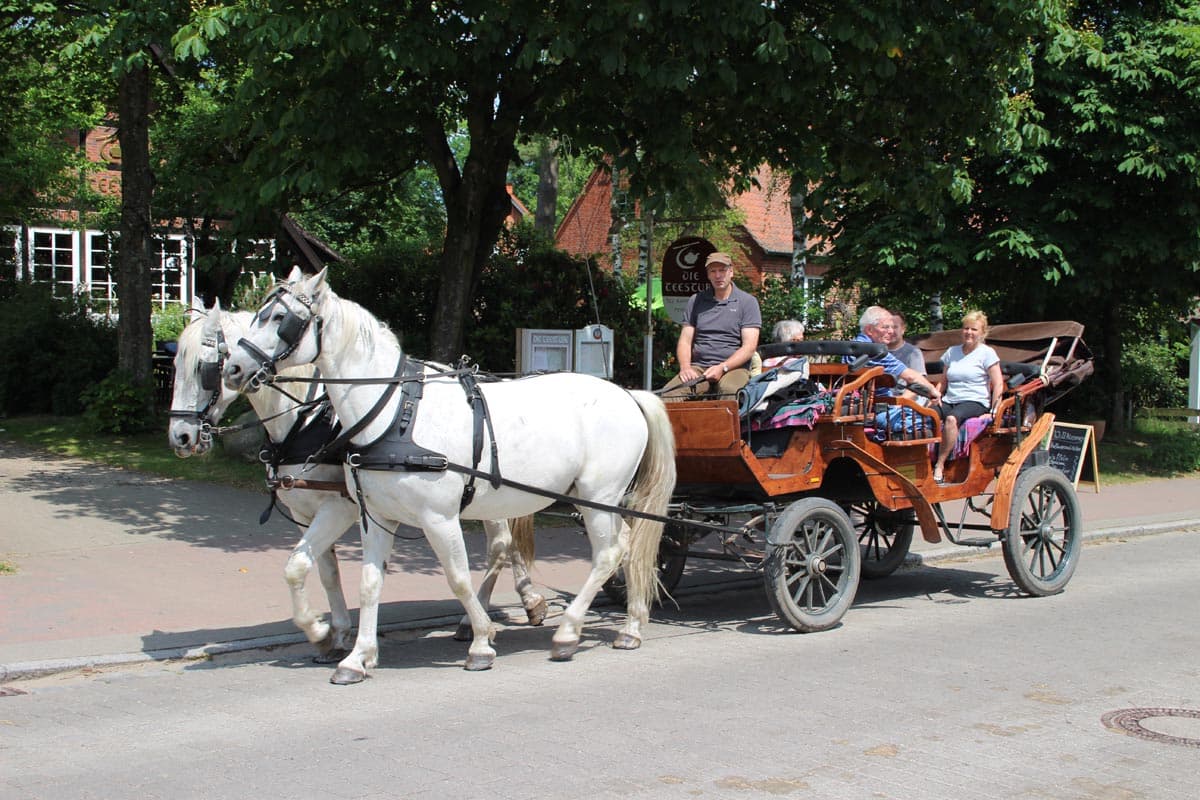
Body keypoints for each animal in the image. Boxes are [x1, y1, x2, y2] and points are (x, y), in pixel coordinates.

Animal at [166, 299, 547, 662]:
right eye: (175, 366)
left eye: (205, 368)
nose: (180, 436)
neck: (308, 418)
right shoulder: (306, 512)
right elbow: (323, 570)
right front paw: (334, 633)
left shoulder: (340, 507)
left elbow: (299, 566)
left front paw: (320, 631)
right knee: (507, 544)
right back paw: (527, 600)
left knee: (499, 545)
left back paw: (476, 618)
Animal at [223, 268, 676, 681]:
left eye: (280, 318)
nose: (234, 368)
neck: (396, 413)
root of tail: (628, 394)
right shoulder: (374, 517)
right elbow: (367, 582)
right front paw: (356, 657)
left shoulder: (437, 517)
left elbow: (457, 578)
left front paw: (481, 642)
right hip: (599, 500)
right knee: (628, 546)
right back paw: (631, 625)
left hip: (599, 496)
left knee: (608, 553)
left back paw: (567, 632)